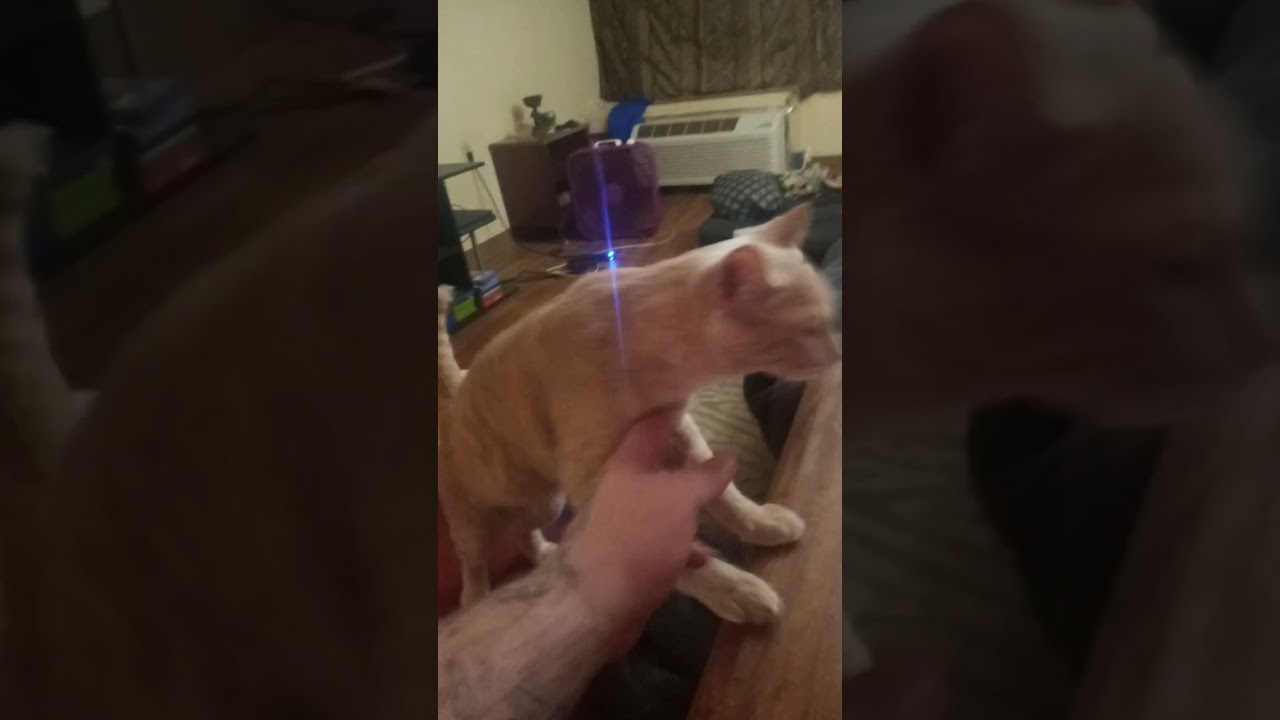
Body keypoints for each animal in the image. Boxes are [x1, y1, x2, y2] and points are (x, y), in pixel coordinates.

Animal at [437, 203, 841, 624]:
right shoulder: (595, 481)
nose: (839, 354)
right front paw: (734, 588)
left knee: (522, 533)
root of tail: (458, 389)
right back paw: (475, 602)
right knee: (474, 565)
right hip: (479, 524)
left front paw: (762, 523)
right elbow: (676, 559)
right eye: (811, 329)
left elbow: (726, 495)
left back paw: (545, 555)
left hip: (544, 503)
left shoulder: (680, 430)